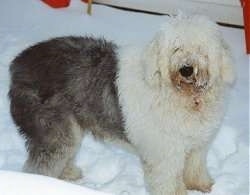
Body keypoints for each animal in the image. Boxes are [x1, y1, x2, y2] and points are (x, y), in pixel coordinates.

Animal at [8, 15, 234, 195]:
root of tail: (18, 62)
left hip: (69, 129)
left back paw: (68, 173)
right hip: (52, 130)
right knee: (40, 167)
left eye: (201, 49)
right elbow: (167, 182)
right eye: (176, 48)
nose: (186, 69)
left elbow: (195, 167)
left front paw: (202, 185)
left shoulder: (197, 145)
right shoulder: (164, 153)